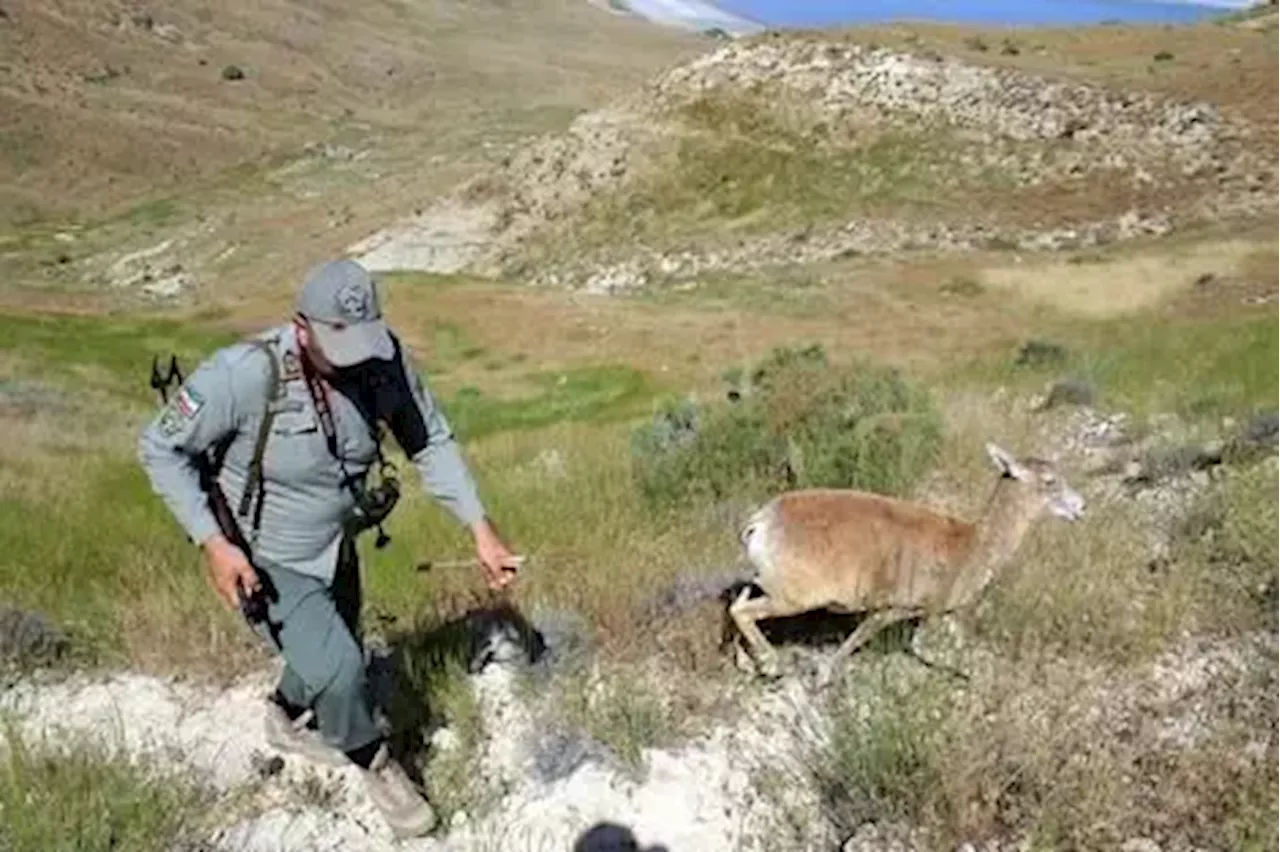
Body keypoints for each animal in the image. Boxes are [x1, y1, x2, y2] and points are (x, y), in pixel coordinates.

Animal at [732, 440, 1080, 685]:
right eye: (1050, 481)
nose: (1080, 506)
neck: (972, 545)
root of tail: (760, 522)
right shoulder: (894, 609)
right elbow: (862, 642)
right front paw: (825, 675)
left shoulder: (941, 612)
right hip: (793, 597)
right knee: (742, 611)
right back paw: (772, 664)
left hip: (767, 582)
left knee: (739, 602)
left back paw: (750, 663)